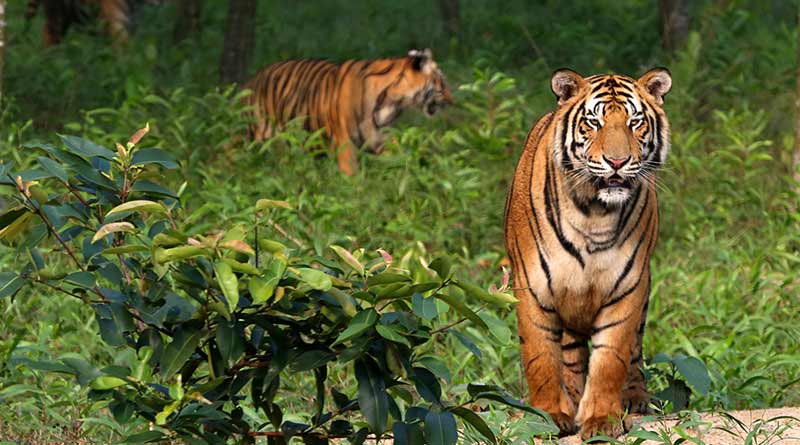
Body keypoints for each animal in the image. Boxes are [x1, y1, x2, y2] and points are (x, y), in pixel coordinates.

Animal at [242, 49, 453, 176]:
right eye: (441, 84)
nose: (452, 102)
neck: (392, 102)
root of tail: (252, 79)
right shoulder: (343, 142)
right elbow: (352, 176)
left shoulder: (380, 137)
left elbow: (400, 158)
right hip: (258, 137)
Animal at [504, 68, 672, 439]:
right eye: (594, 122)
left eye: (635, 121)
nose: (617, 161)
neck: (594, 213)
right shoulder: (533, 287)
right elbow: (540, 357)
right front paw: (548, 415)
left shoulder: (628, 287)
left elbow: (611, 359)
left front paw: (603, 419)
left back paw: (634, 398)